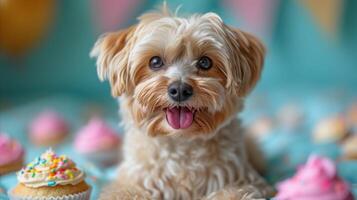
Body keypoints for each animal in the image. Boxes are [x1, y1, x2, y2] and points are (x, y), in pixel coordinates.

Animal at [90, 4, 274, 200]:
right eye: (155, 61)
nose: (179, 90)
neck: (182, 143)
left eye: (205, 62)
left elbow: (234, 192)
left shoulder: (247, 180)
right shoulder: (131, 181)